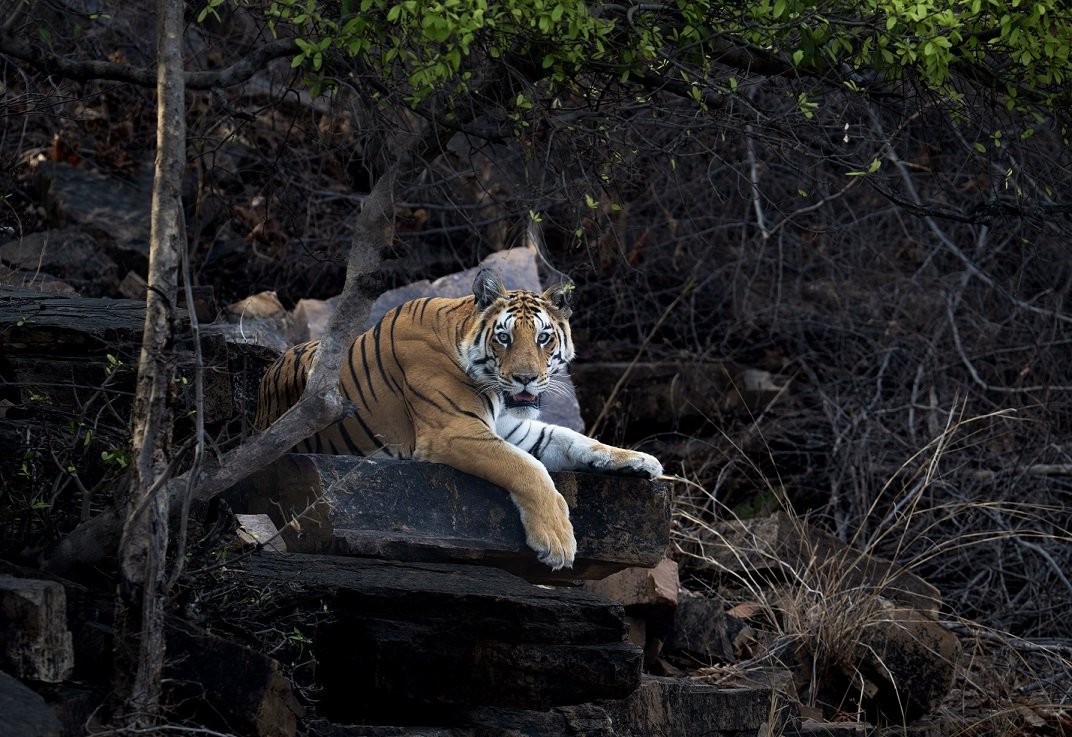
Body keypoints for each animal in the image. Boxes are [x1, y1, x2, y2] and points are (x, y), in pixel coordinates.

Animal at [254, 268, 663, 571]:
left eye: (544, 338)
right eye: (504, 337)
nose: (526, 378)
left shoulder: (513, 428)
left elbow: (576, 440)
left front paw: (640, 461)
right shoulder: (455, 431)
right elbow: (528, 468)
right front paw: (557, 541)